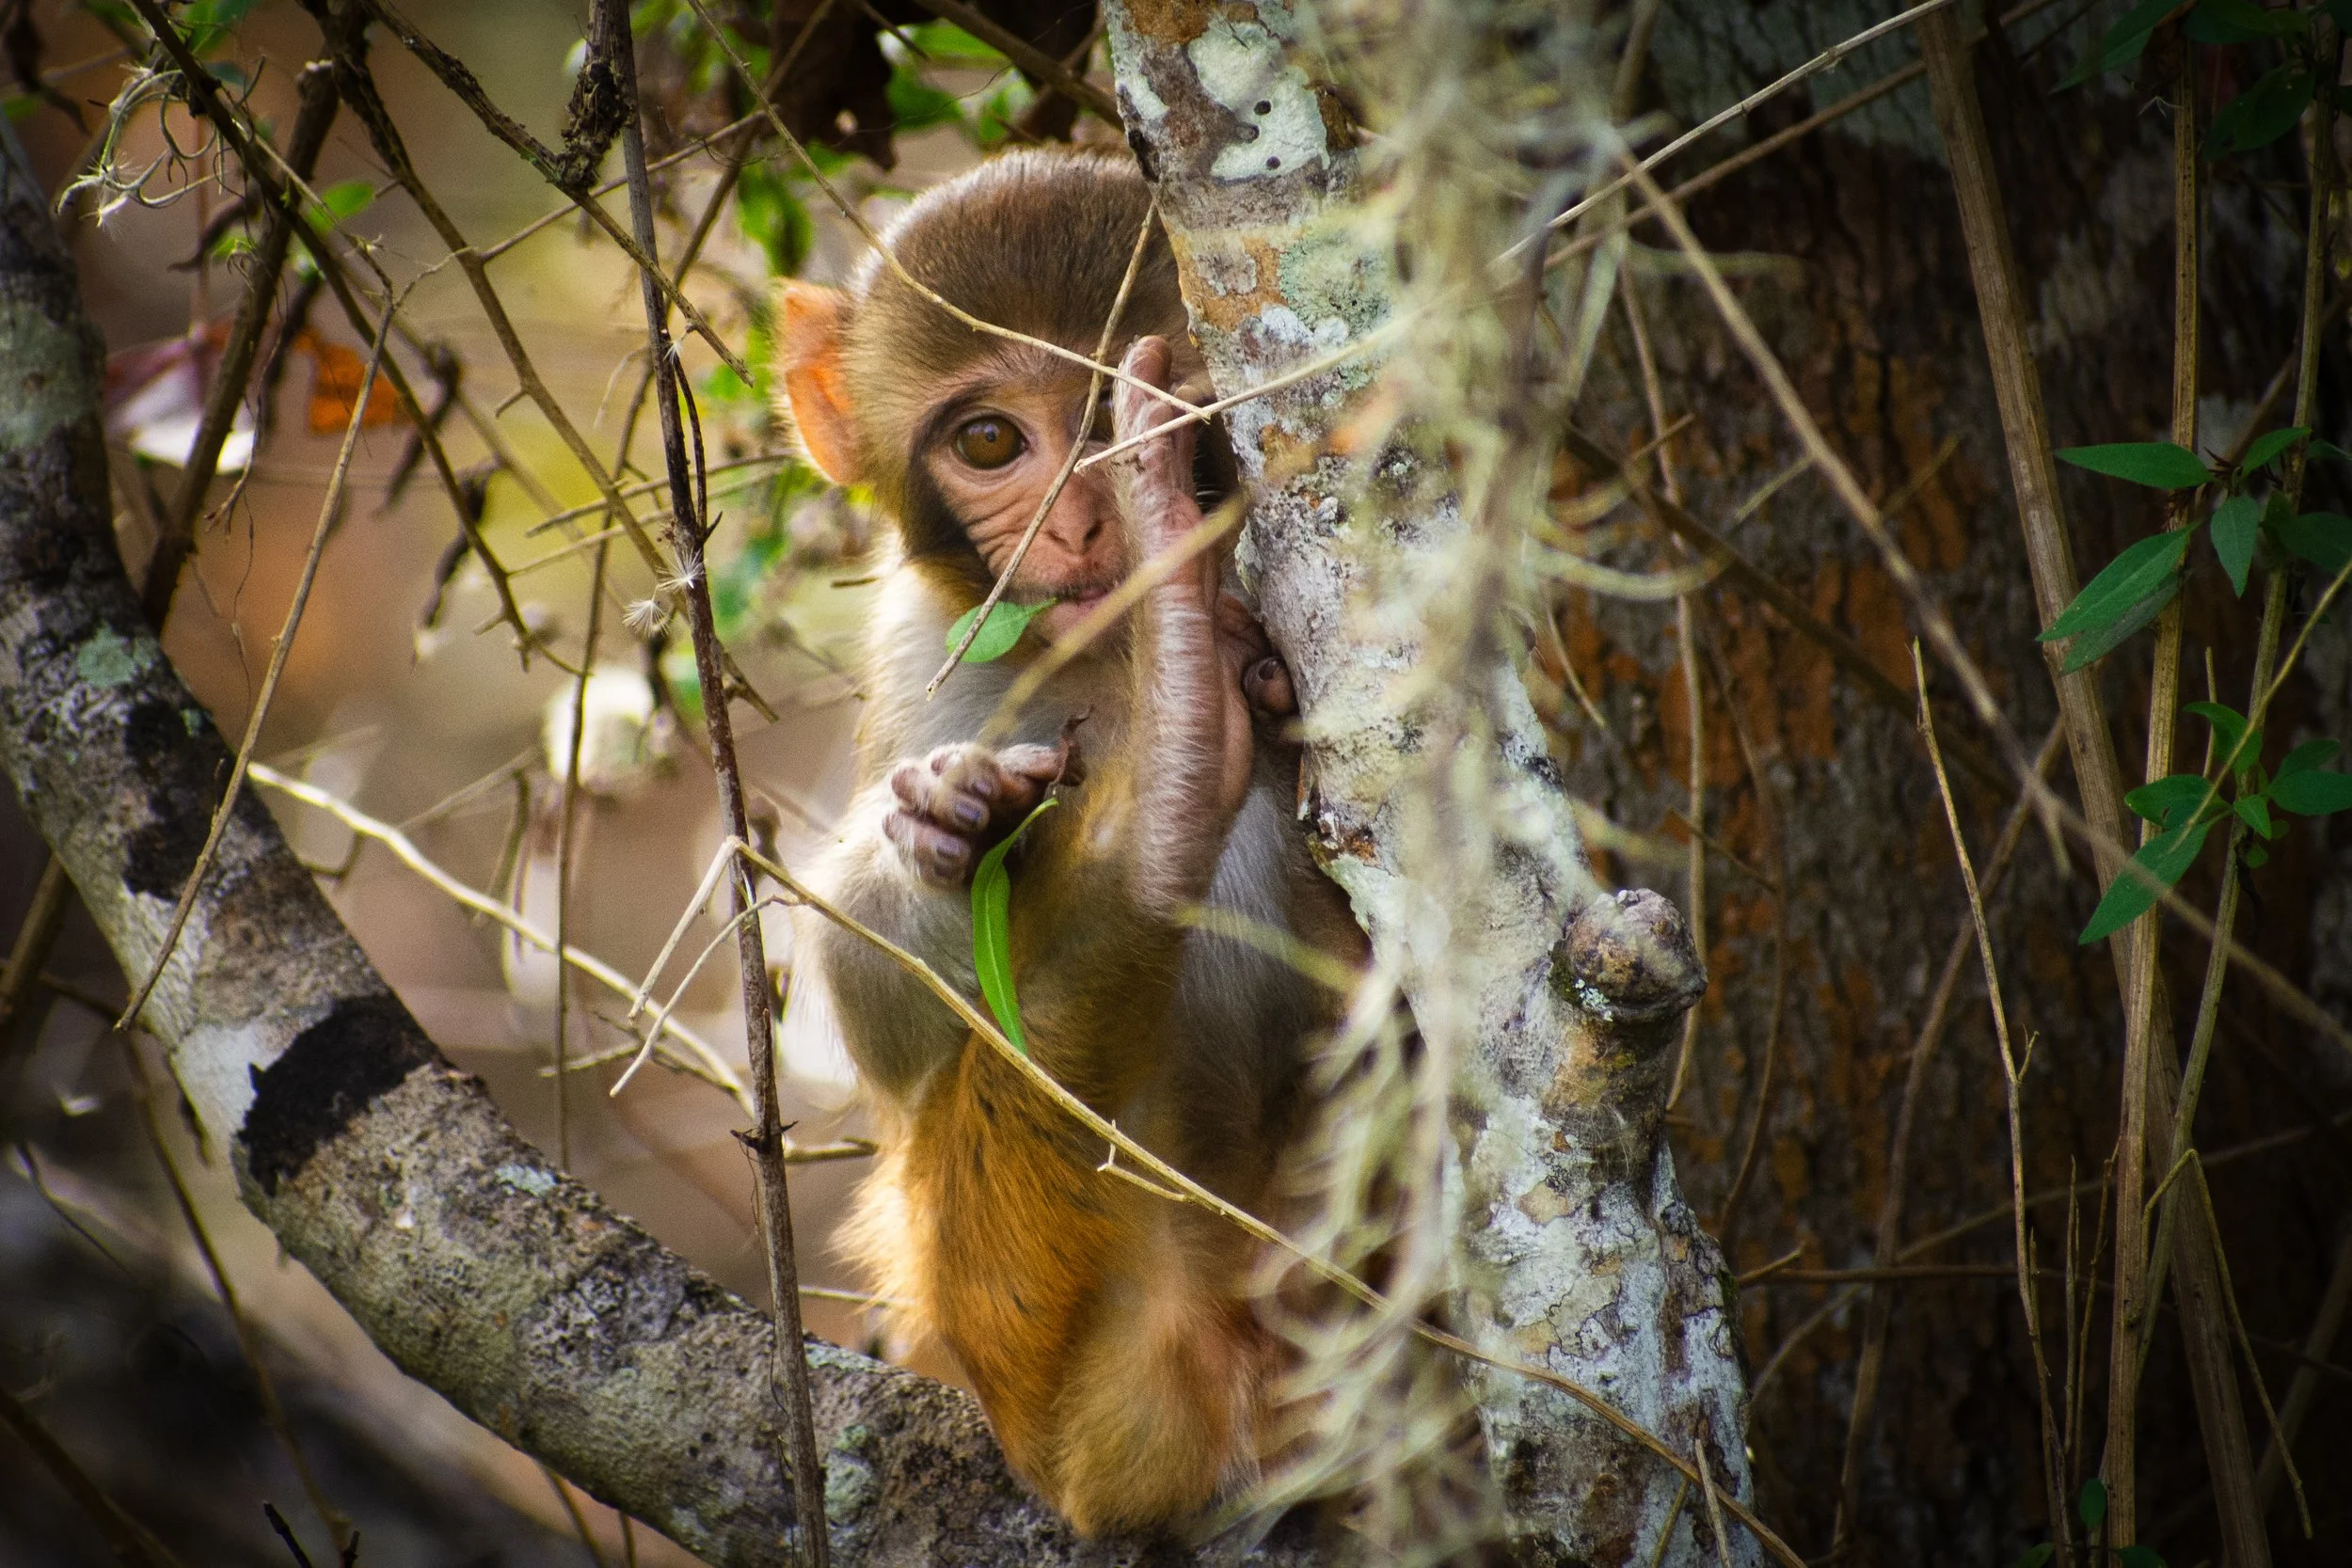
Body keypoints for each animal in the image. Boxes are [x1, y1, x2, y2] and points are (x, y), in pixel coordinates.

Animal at [775, 147, 1364, 1534]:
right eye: (992, 441)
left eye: (1111, 412)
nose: (1090, 522)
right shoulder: (928, 654)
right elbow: (881, 1007)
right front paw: (945, 819)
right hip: (1041, 1358)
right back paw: (1154, 824)